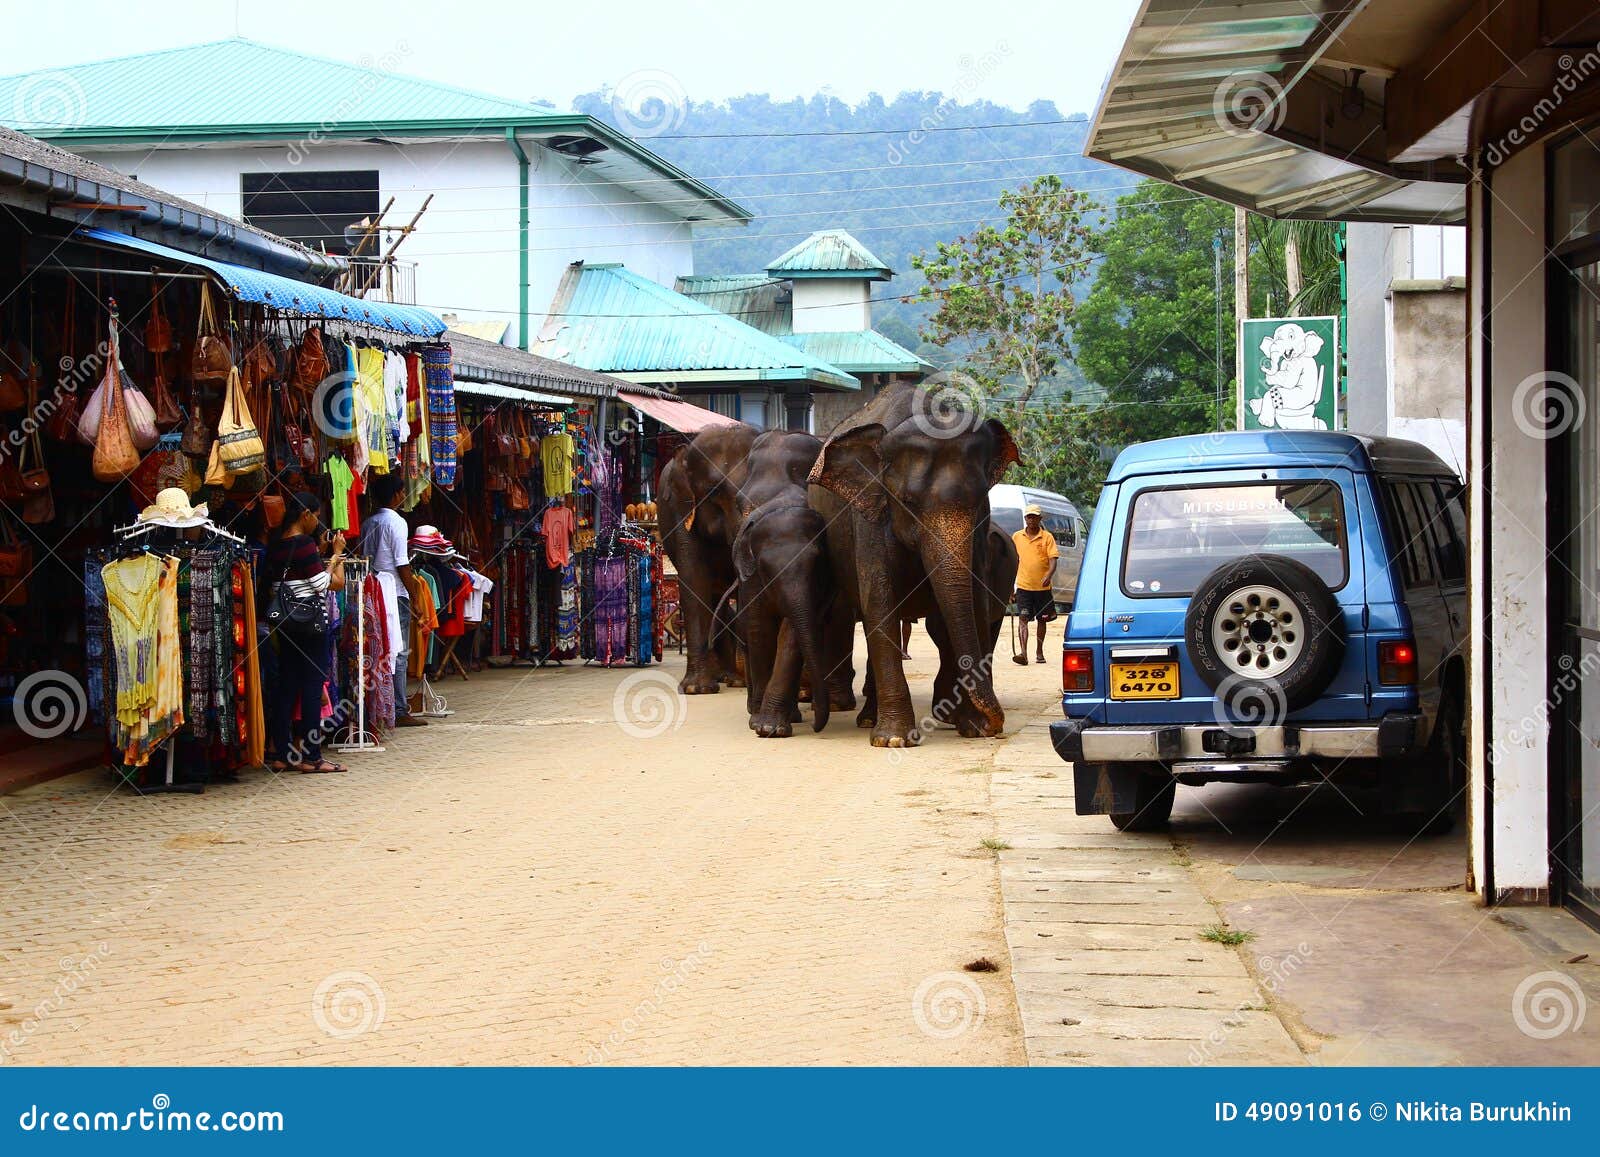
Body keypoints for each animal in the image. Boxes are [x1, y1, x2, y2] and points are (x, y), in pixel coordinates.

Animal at [662, 425, 761, 697]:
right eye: (715, 493)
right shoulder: (681, 509)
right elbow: (694, 581)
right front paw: (696, 689)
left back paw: (733, 680)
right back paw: (724, 678)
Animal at [732, 492, 838, 736]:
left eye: (817, 561)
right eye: (765, 568)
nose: (817, 726)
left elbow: (791, 634)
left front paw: (771, 728)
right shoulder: (752, 577)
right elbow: (761, 630)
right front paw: (759, 725)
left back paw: (792, 716)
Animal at [806, 382, 1017, 752]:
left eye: (980, 500)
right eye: (907, 503)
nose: (996, 725)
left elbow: (974, 601)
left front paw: (972, 728)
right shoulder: (869, 515)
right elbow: (879, 604)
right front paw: (894, 740)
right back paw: (870, 721)